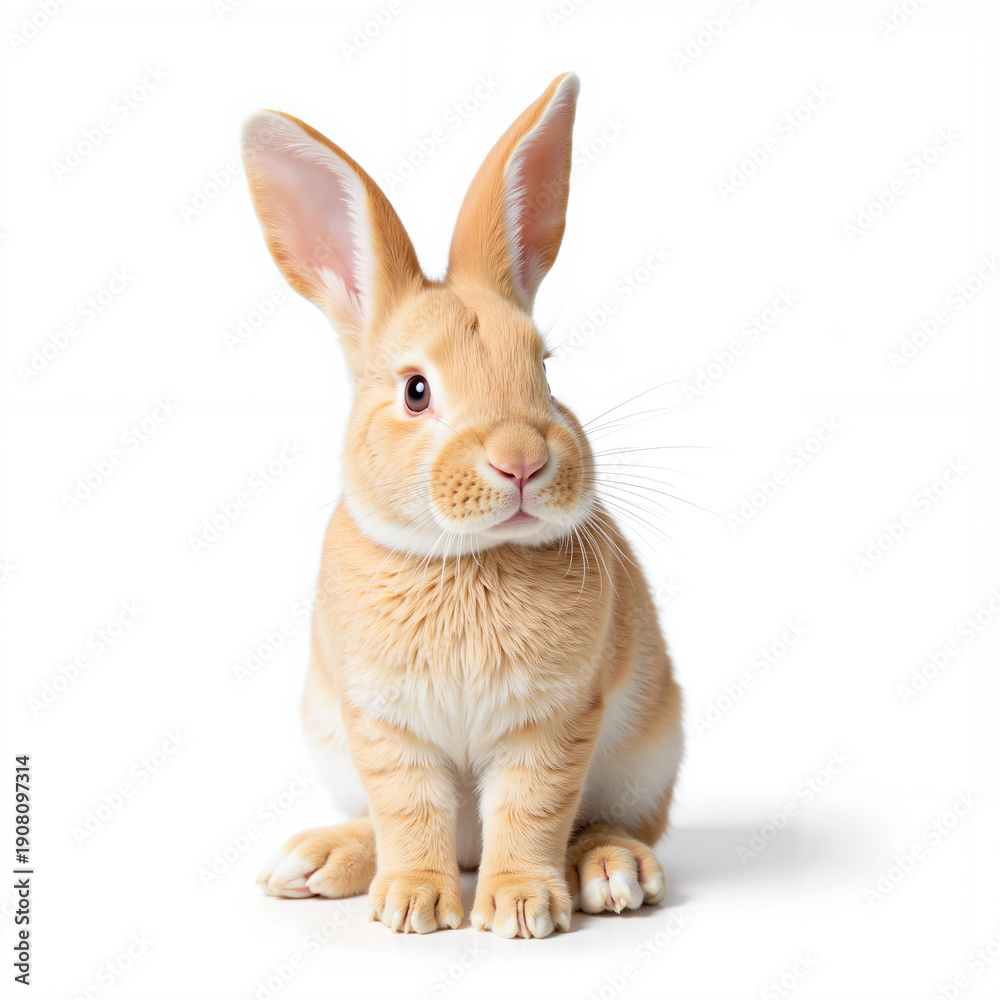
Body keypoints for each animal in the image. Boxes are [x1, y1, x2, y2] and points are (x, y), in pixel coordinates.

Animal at [243, 72, 683, 938]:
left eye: (544, 368)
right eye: (416, 391)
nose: (523, 461)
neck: (468, 556)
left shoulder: (552, 725)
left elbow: (532, 811)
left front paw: (519, 909)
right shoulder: (383, 727)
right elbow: (408, 812)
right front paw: (414, 906)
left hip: (647, 758)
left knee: (608, 825)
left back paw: (613, 873)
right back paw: (315, 861)